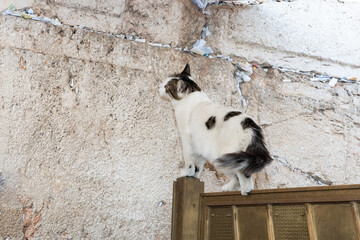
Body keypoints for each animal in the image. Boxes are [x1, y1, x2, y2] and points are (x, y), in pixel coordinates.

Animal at [159, 63, 272, 195]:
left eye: (166, 86)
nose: (159, 86)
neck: (192, 96)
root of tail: (251, 125)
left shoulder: (187, 141)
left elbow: (189, 161)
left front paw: (186, 173)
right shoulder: (200, 147)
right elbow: (198, 166)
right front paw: (193, 176)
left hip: (227, 157)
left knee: (243, 174)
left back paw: (245, 191)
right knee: (238, 176)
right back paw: (228, 188)